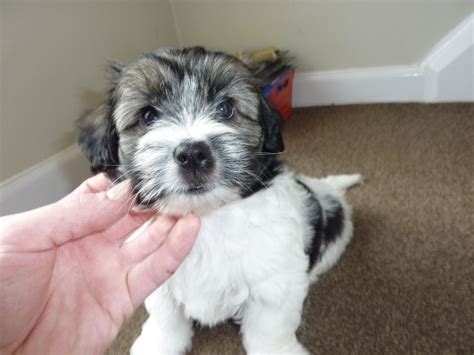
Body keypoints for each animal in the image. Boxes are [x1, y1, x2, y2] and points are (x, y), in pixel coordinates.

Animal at [78, 48, 362, 355]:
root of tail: (329, 189)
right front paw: (159, 343)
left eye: (226, 108)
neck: (207, 217)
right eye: (148, 115)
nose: (192, 153)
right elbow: (165, 315)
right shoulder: (157, 278)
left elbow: (270, 330)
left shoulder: (274, 285)